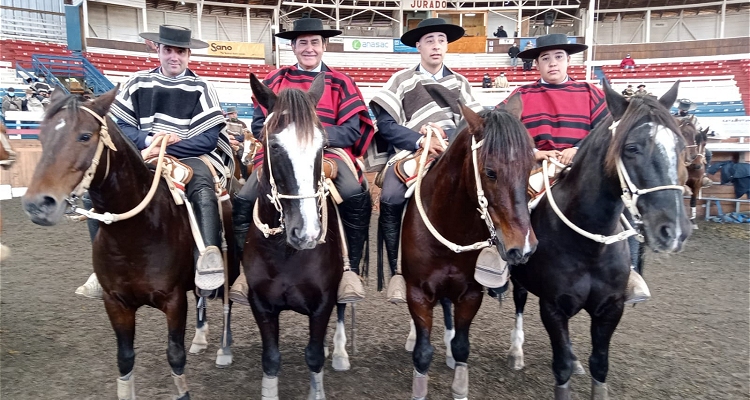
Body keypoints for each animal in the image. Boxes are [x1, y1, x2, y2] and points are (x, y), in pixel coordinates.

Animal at [22, 88, 238, 400]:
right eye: (41, 136)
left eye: (85, 136)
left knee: (225, 301)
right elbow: (124, 359)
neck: (136, 234)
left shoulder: (173, 301)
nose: (38, 205)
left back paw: (224, 349)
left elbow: (175, 355)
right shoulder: (116, 303)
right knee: (201, 296)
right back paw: (200, 337)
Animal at [245, 72, 354, 400]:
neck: (285, 253)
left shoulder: (322, 304)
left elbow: (314, 356)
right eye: (274, 145)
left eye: (322, 146)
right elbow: (271, 359)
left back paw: (340, 353)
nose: (307, 233)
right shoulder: (261, 304)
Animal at [402, 94, 536, 400]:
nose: (523, 247)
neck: (450, 224)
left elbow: (463, 346)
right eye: (490, 172)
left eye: (529, 167)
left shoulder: (470, 294)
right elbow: (422, 353)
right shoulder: (418, 293)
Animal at [506, 79, 692, 398]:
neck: (588, 247)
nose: (674, 231)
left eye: (679, 147)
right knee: (519, 301)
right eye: (631, 148)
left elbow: (599, 366)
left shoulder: (610, 309)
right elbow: (561, 369)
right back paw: (517, 351)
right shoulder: (552, 308)